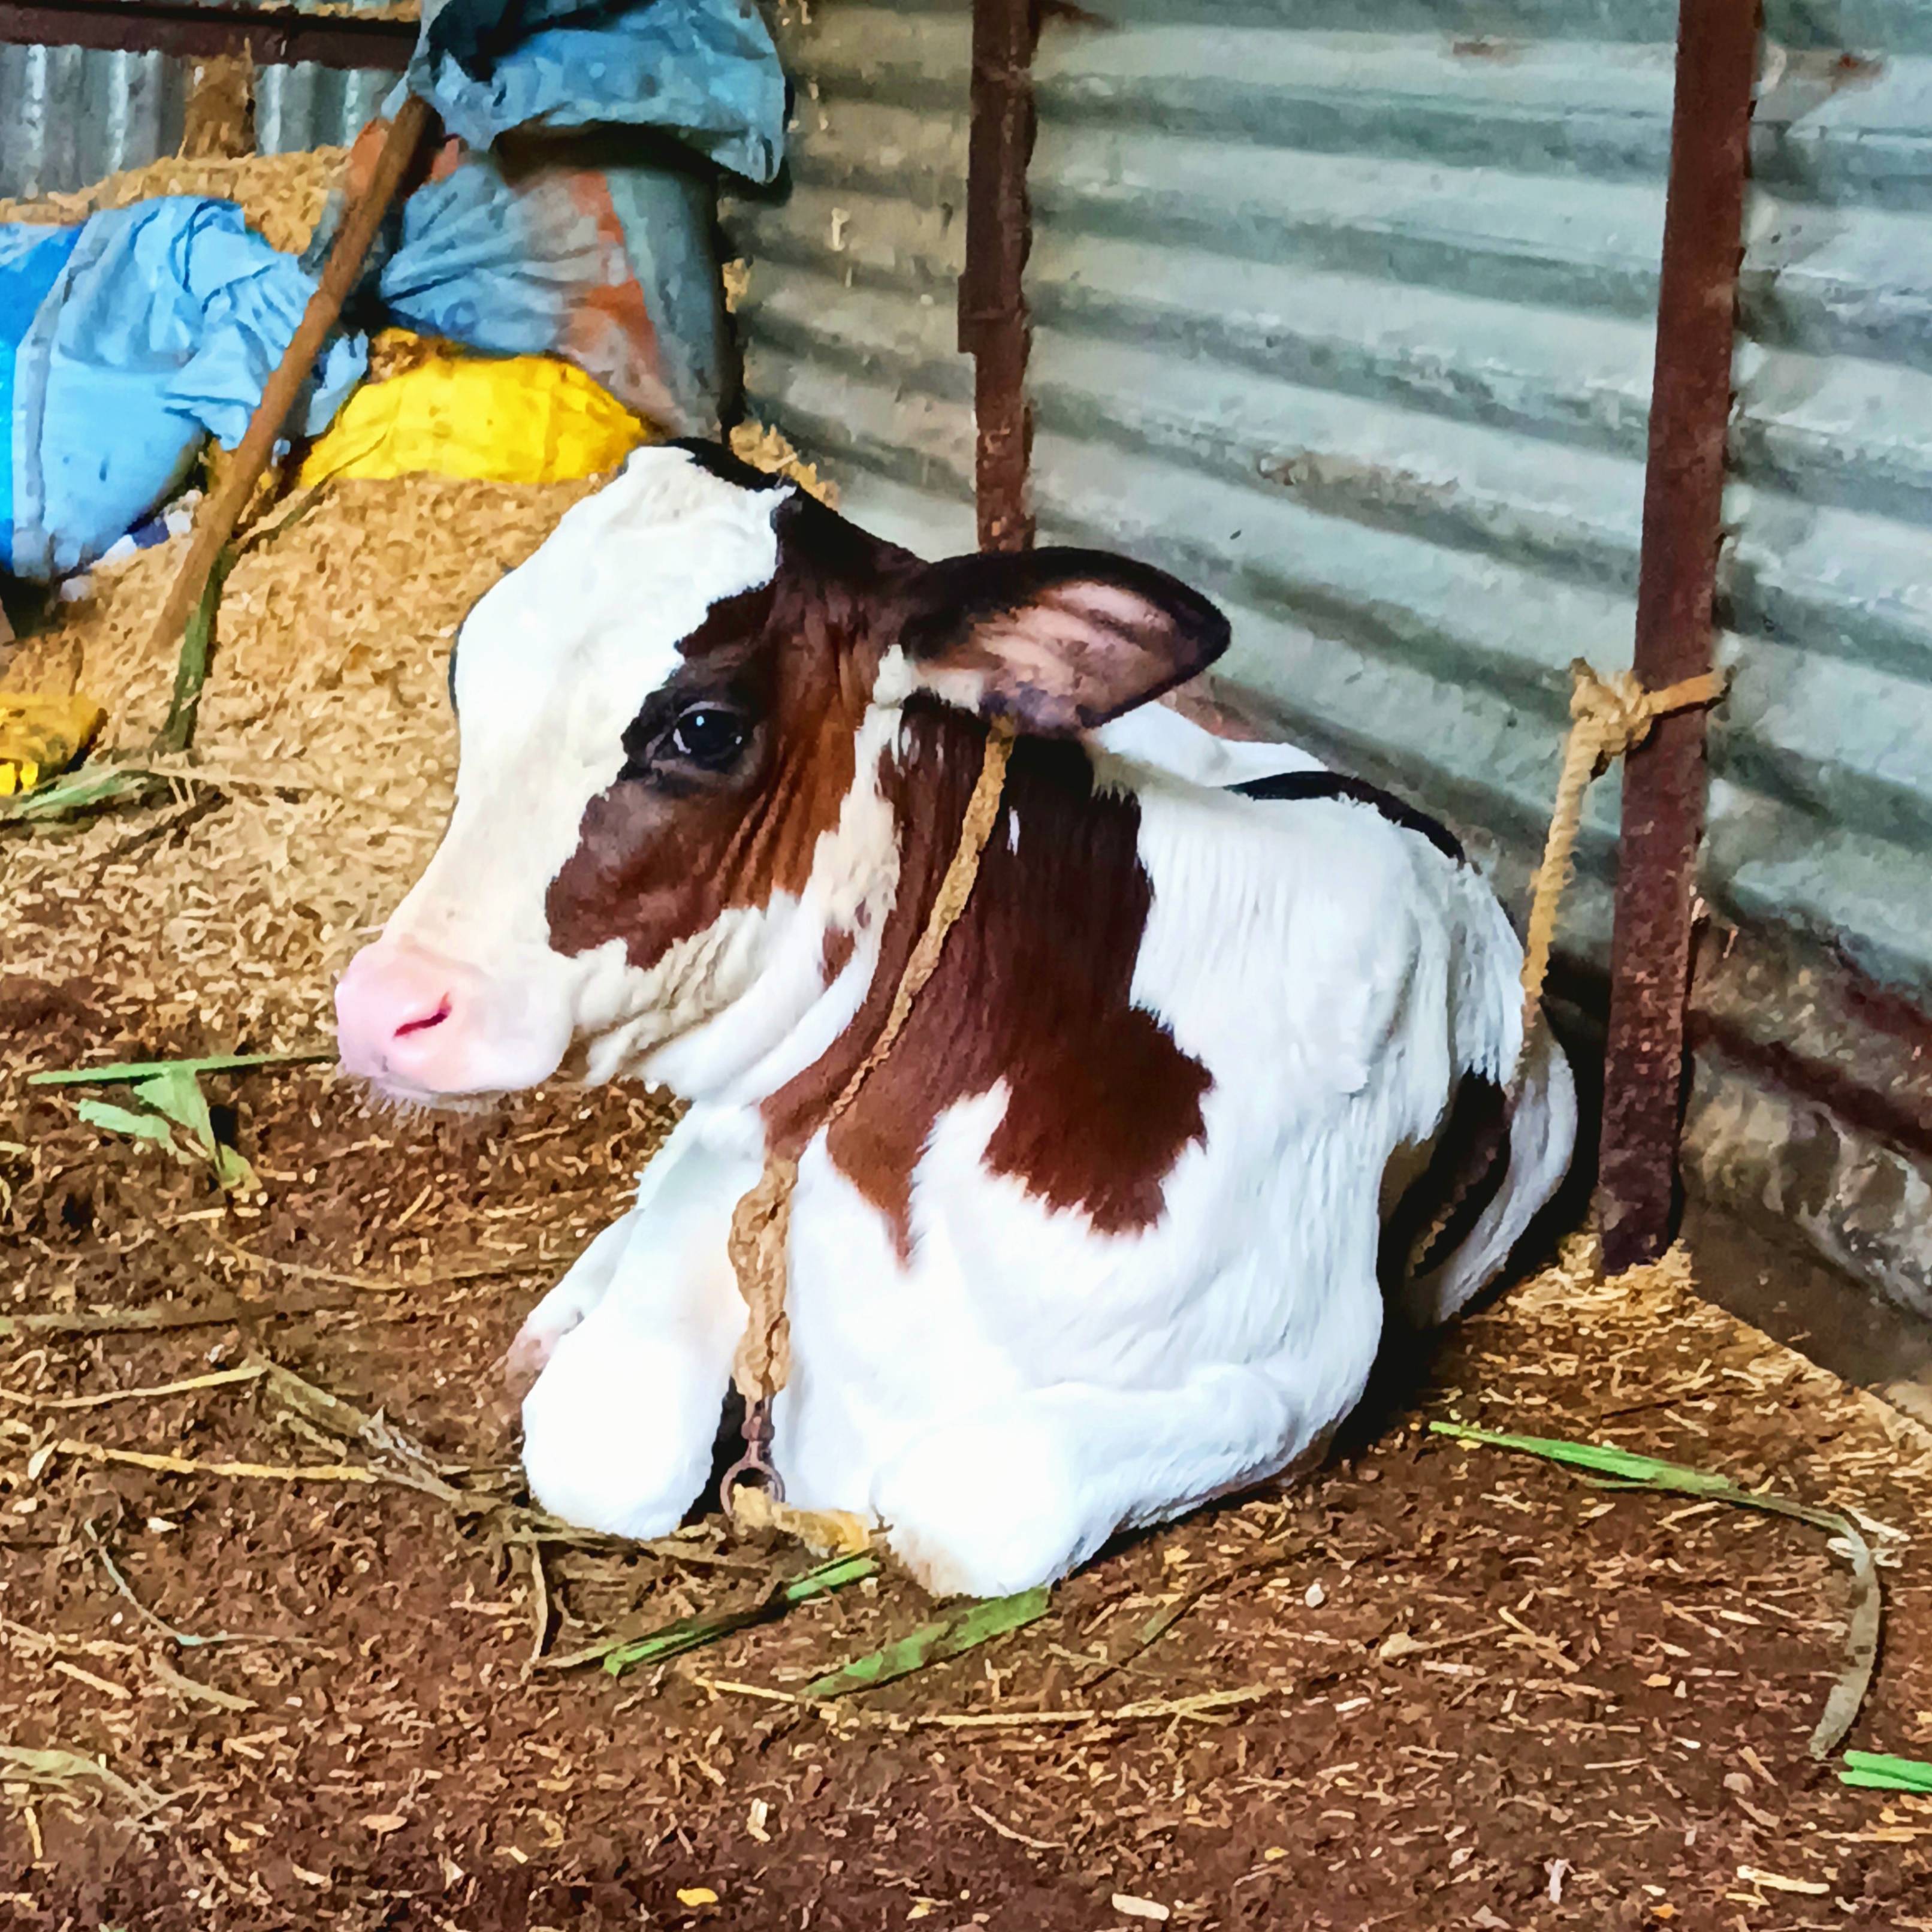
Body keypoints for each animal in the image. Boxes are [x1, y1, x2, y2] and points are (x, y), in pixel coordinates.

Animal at [335, 441, 1576, 1598]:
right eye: (466, 669)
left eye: (704, 729)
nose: (381, 1006)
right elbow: (602, 1436)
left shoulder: (1304, 1372)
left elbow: (965, 1505)